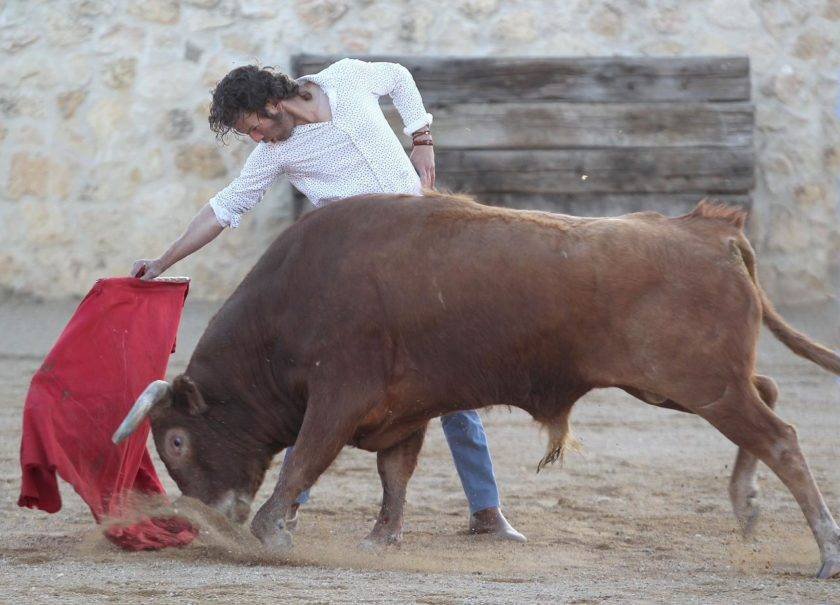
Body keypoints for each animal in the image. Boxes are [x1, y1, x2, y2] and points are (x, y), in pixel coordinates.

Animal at [113, 196, 840, 580]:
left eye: (175, 440)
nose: (214, 517)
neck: (290, 300)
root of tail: (708, 227)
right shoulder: (400, 411)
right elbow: (394, 474)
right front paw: (379, 539)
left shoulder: (339, 396)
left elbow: (303, 460)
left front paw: (271, 533)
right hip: (686, 386)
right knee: (770, 393)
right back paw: (747, 508)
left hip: (699, 383)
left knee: (781, 437)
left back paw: (824, 551)